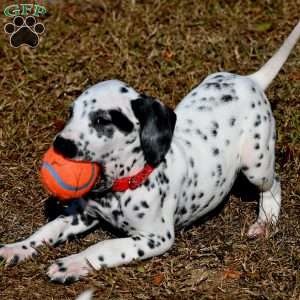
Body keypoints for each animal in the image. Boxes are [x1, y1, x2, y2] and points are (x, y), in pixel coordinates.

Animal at [0, 20, 298, 284]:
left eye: (102, 120)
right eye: (71, 114)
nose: (61, 145)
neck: (121, 184)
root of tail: (251, 80)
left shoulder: (154, 238)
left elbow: (103, 247)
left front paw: (72, 263)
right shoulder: (81, 215)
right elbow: (48, 229)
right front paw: (19, 247)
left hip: (256, 164)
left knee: (274, 184)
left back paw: (266, 221)